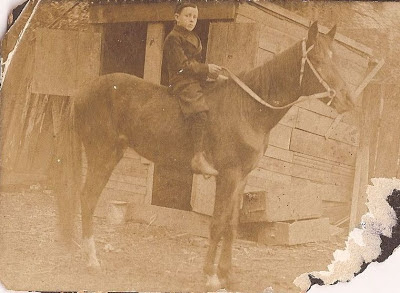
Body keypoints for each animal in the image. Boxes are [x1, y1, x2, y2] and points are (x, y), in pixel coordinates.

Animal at [58, 21, 354, 290]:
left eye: (337, 59)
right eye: (317, 59)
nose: (348, 100)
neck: (247, 108)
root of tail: (85, 90)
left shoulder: (241, 179)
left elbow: (231, 226)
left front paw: (228, 276)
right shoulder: (228, 176)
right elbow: (217, 224)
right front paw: (211, 276)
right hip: (102, 155)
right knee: (88, 198)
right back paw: (92, 260)